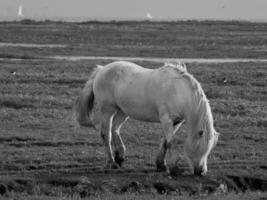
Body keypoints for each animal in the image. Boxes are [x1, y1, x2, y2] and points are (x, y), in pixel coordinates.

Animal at [75, 60, 220, 175]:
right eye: (201, 147)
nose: (201, 172)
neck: (178, 91)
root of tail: (101, 70)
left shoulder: (176, 122)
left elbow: (165, 142)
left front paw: (161, 165)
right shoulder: (166, 119)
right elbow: (170, 142)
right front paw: (173, 168)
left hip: (123, 111)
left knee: (115, 129)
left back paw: (120, 157)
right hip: (107, 110)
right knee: (107, 134)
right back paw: (112, 163)